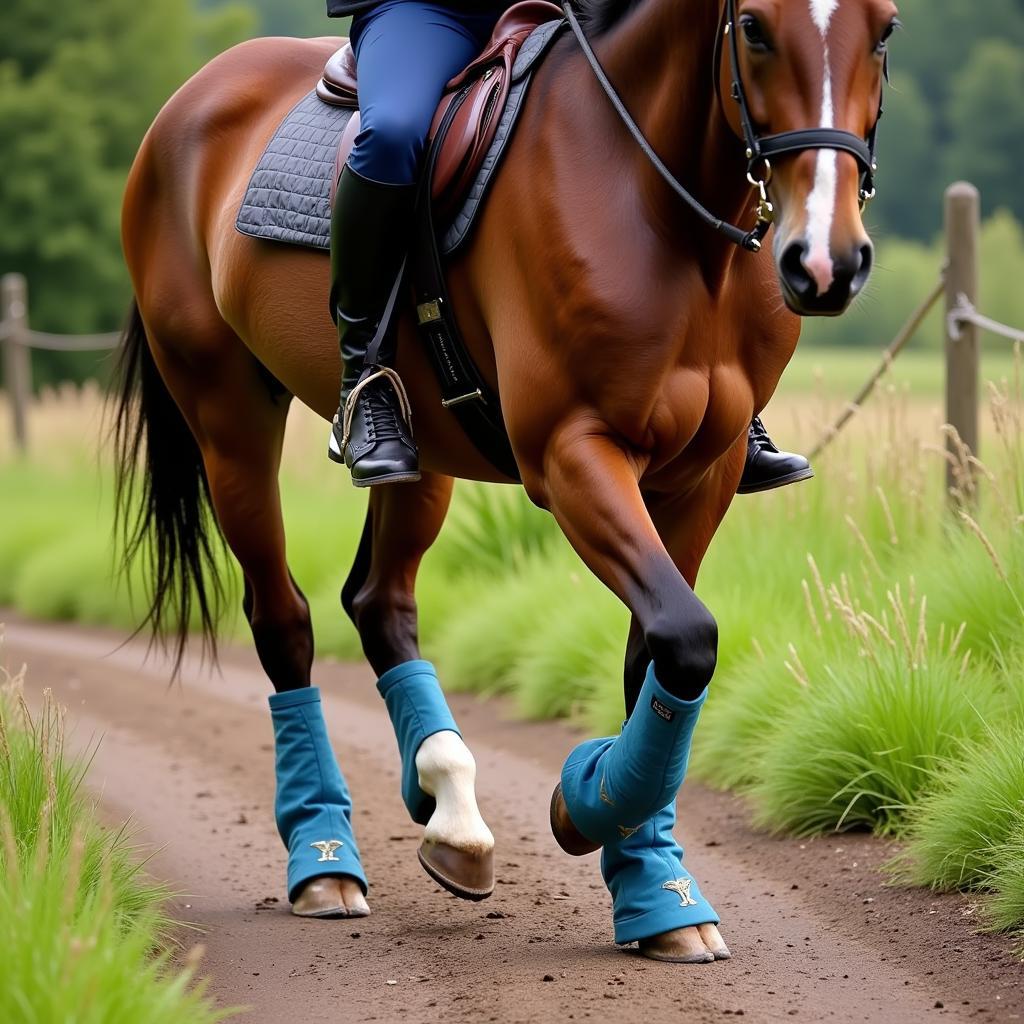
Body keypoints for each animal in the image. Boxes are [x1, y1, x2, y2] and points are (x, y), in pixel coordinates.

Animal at [114, 0, 897, 962]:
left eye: (884, 31)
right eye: (751, 25)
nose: (825, 264)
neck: (654, 207)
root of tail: (186, 105)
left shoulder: (703, 476)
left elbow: (660, 650)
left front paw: (652, 885)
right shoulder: (572, 455)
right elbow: (684, 634)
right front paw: (583, 810)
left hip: (421, 456)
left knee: (379, 602)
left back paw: (447, 808)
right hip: (229, 421)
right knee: (282, 620)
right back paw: (325, 858)